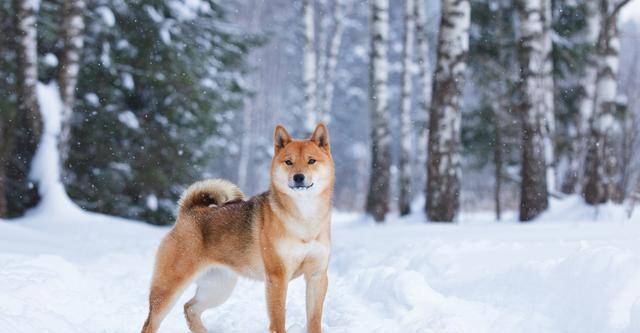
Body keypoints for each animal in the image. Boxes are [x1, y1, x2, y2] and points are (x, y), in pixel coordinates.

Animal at [141, 124, 336, 332]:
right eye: (288, 162)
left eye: (311, 161)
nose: (299, 177)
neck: (304, 219)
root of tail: (189, 211)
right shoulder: (277, 277)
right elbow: (278, 320)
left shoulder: (317, 276)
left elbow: (314, 320)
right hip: (169, 288)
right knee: (151, 323)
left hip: (218, 287)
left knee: (190, 308)